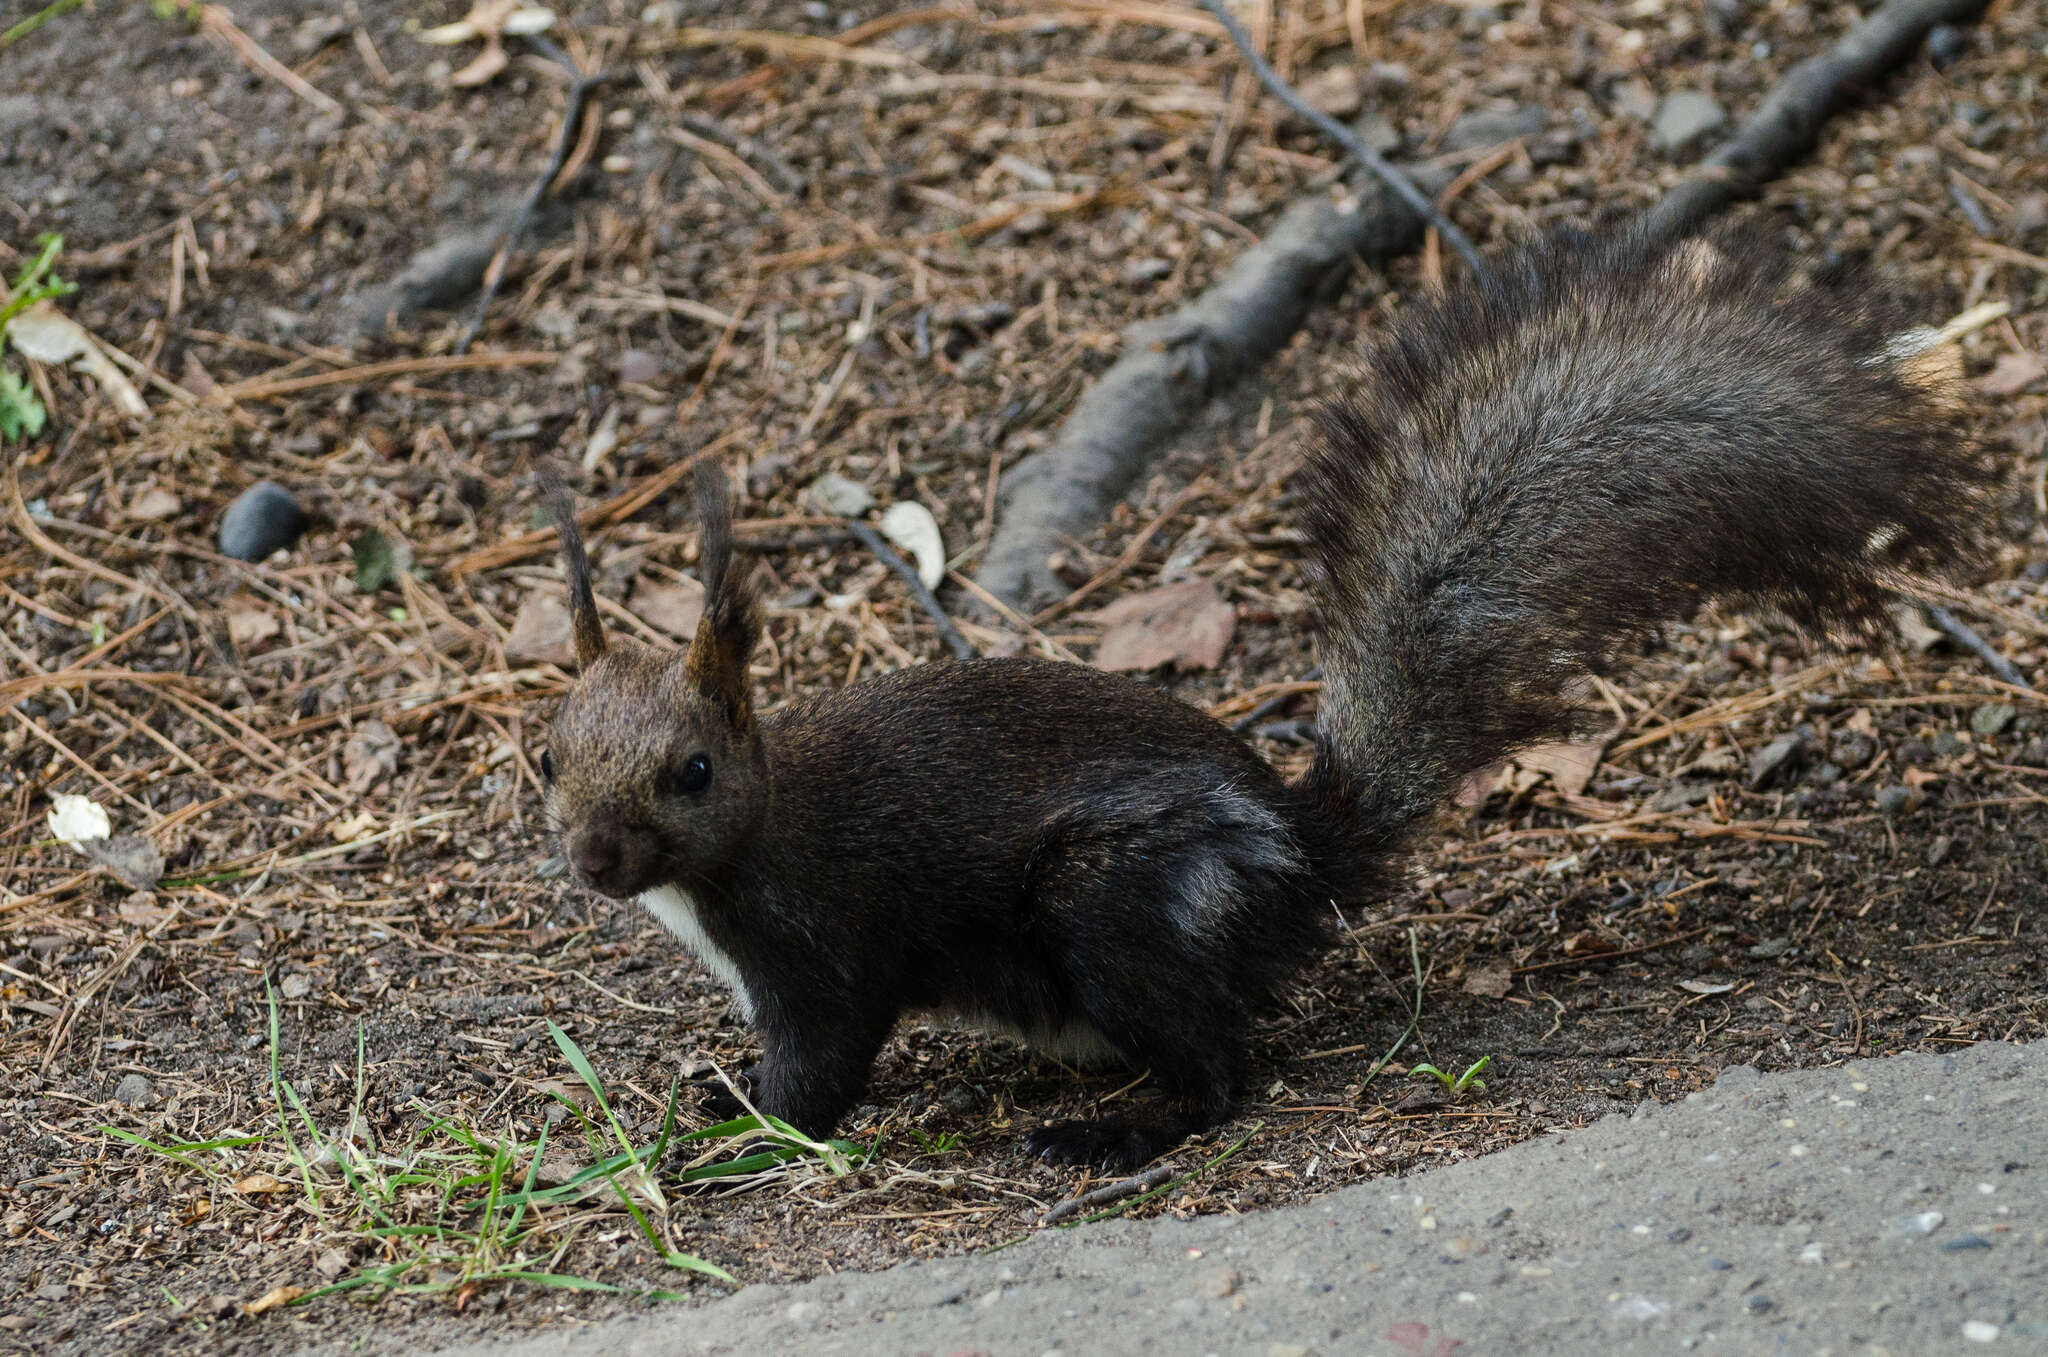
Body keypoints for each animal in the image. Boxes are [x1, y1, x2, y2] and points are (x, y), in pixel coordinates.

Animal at [536, 223, 1974, 1170]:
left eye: (693, 771)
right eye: (545, 758)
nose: (596, 861)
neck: (735, 858)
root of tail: (1297, 853)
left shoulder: (825, 940)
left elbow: (823, 1069)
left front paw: (740, 1125)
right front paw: (713, 1093)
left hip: (1115, 901)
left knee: (1221, 1066)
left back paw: (1113, 1133)